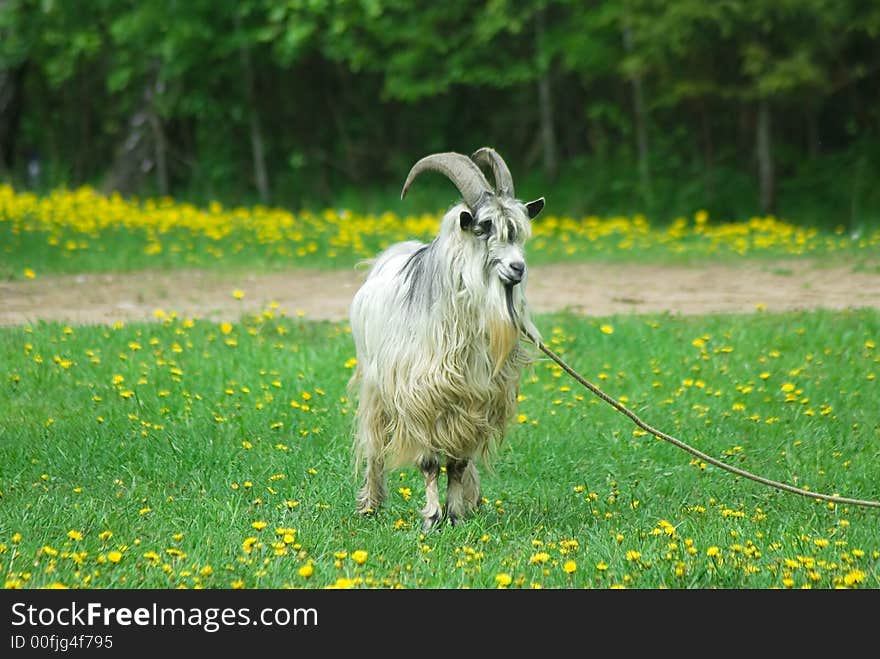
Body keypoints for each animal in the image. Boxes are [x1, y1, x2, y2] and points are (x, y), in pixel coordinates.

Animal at [346, 148, 544, 532]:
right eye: (484, 228)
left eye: (517, 232)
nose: (518, 268)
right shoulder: (420, 398)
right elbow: (428, 463)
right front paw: (432, 518)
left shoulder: (474, 402)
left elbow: (458, 463)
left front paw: (455, 514)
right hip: (375, 385)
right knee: (374, 443)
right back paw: (371, 504)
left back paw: (472, 498)